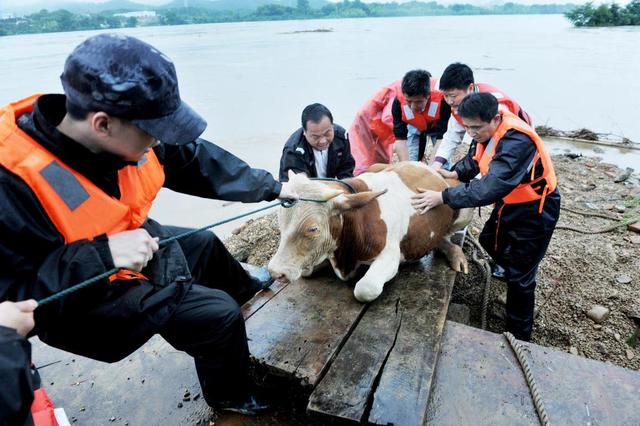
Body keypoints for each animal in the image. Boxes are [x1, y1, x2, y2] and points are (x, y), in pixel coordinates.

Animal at [268, 161, 472, 302]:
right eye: (280, 222)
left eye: (313, 229)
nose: (275, 272)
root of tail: (428, 167)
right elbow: (307, 271)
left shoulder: (390, 257)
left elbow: (365, 288)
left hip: (464, 210)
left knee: (445, 236)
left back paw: (454, 253)